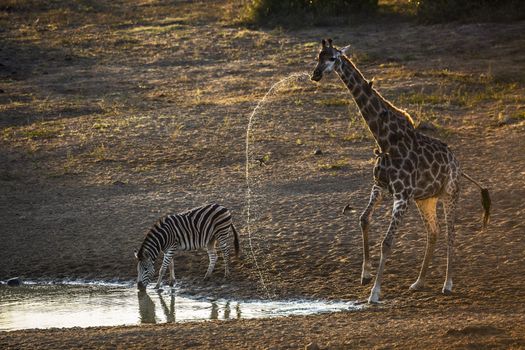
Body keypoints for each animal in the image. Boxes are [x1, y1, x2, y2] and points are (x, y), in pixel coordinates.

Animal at [310, 39, 490, 304]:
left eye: (333, 58)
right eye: (318, 57)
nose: (316, 74)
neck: (386, 139)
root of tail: (458, 163)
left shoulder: (402, 195)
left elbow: (387, 242)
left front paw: (375, 292)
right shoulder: (380, 186)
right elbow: (363, 219)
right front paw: (365, 275)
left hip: (450, 193)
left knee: (451, 233)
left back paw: (447, 284)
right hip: (425, 199)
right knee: (433, 232)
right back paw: (418, 282)